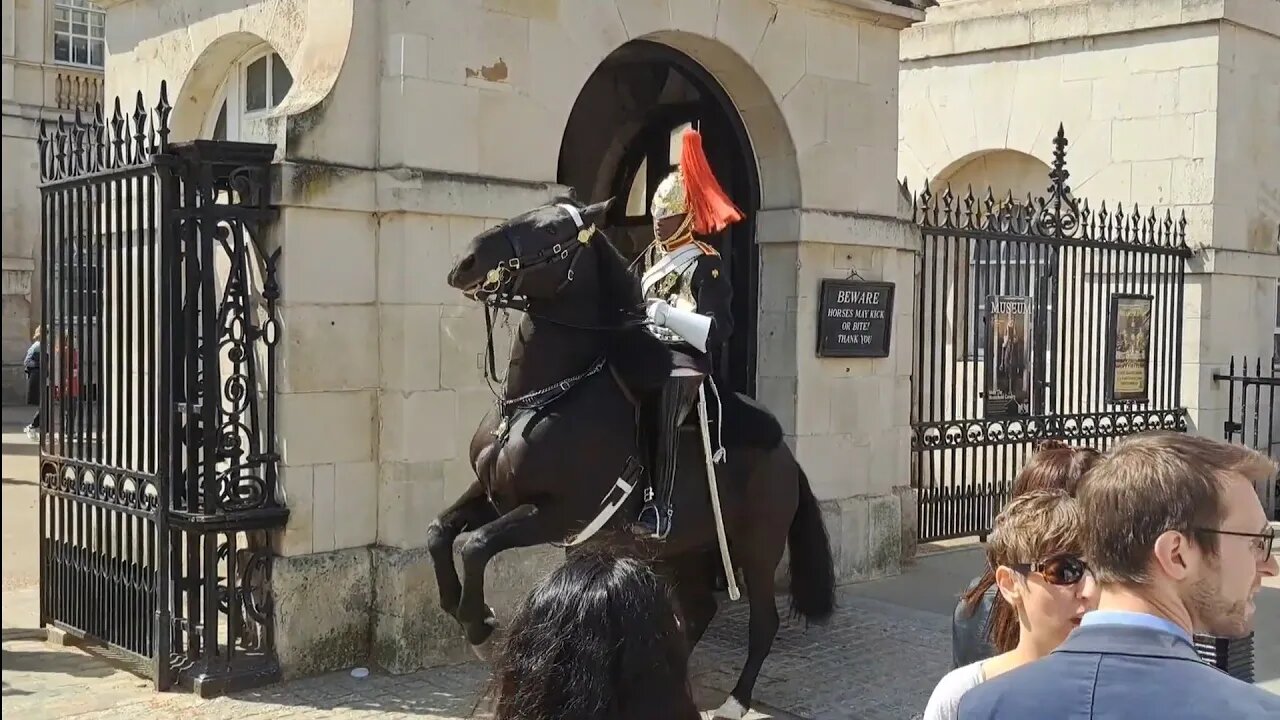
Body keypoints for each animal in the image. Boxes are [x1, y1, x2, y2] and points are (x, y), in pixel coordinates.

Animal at [430, 196, 834, 717]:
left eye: (554, 230)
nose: (467, 262)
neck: (541, 397)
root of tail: (787, 455)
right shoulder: (492, 493)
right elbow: (440, 532)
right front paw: (455, 603)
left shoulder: (559, 513)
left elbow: (475, 544)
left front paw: (479, 624)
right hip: (688, 545)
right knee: (697, 609)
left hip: (755, 547)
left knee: (763, 621)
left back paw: (734, 701)